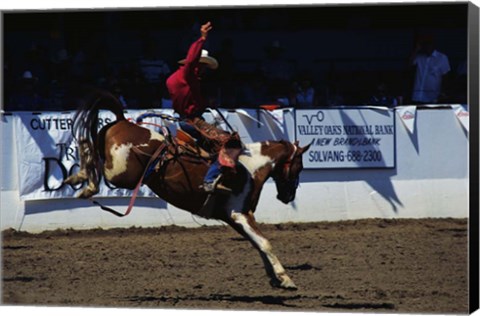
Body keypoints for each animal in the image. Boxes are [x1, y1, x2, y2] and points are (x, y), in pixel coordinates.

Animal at [64, 90, 312, 290]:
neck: (251, 167)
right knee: (95, 162)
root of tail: (123, 121)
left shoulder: (234, 218)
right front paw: (286, 279)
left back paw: (77, 178)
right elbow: (265, 243)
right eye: (299, 166)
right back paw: (85, 183)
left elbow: (258, 245)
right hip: (120, 173)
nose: (288, 196)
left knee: (87, 143)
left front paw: (275, 278)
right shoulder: (239, 214)